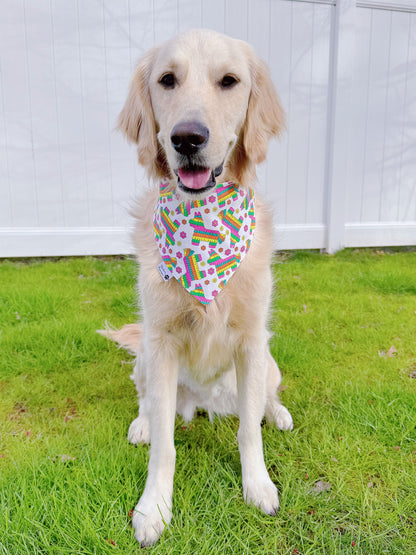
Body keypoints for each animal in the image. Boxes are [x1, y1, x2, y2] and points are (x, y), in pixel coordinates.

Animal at [103, 29, 294, 548]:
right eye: (167, 80)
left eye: (229, 81)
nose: (187, 138)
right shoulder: (162, 341)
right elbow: (165, 448)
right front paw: (153, 508)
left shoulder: (251, 341)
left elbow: (249, 431)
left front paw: (258, 486)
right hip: (146, 358)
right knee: (149, 403)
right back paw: (143, 423)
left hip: (268, 361)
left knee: (264, 400)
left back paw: (278, 413)